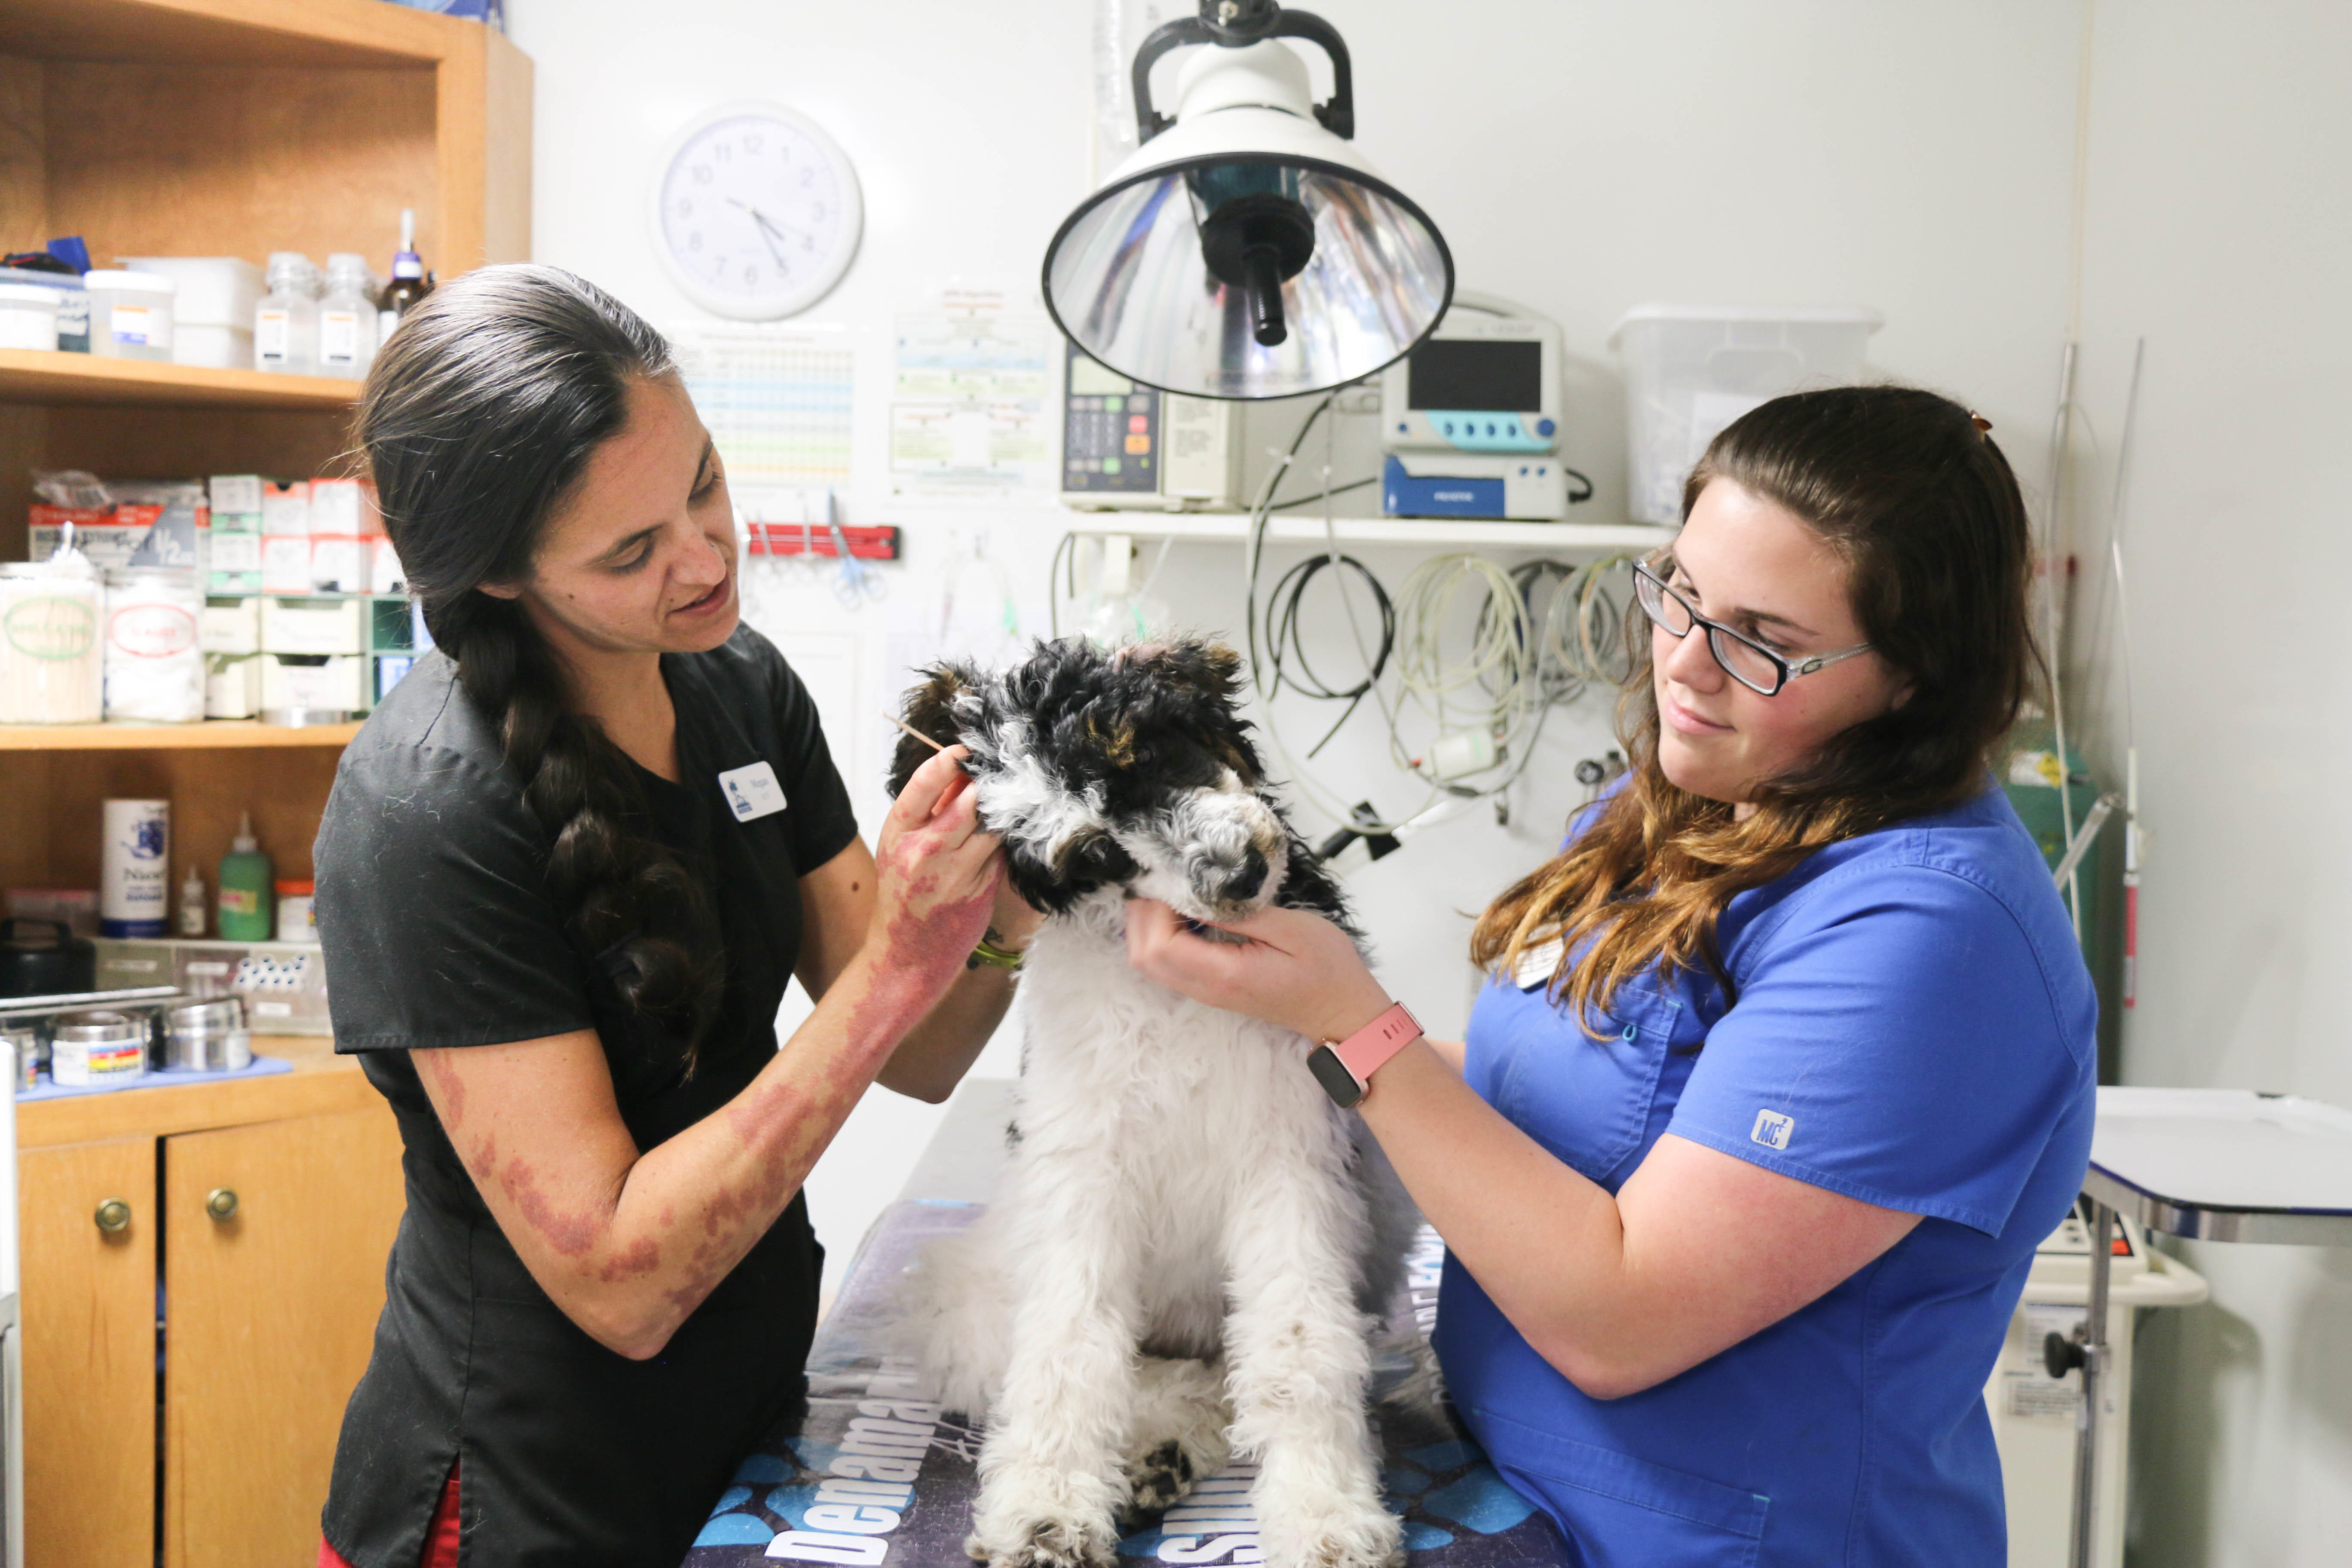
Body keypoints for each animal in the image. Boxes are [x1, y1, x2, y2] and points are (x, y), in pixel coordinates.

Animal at [884, 634, 1411, 1568]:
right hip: (957, 1291)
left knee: (1227, 1375)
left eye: (1147, 753)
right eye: (1094, 853)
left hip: (1384, 1209)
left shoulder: (1291, 1166)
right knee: (1143, 1374)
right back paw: (1146, 1456)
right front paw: (1044, 1512)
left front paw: (1325, 1517)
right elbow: (1070, 1351)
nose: (1237, 874)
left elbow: (1298, 1350)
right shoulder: (1080, 1180)